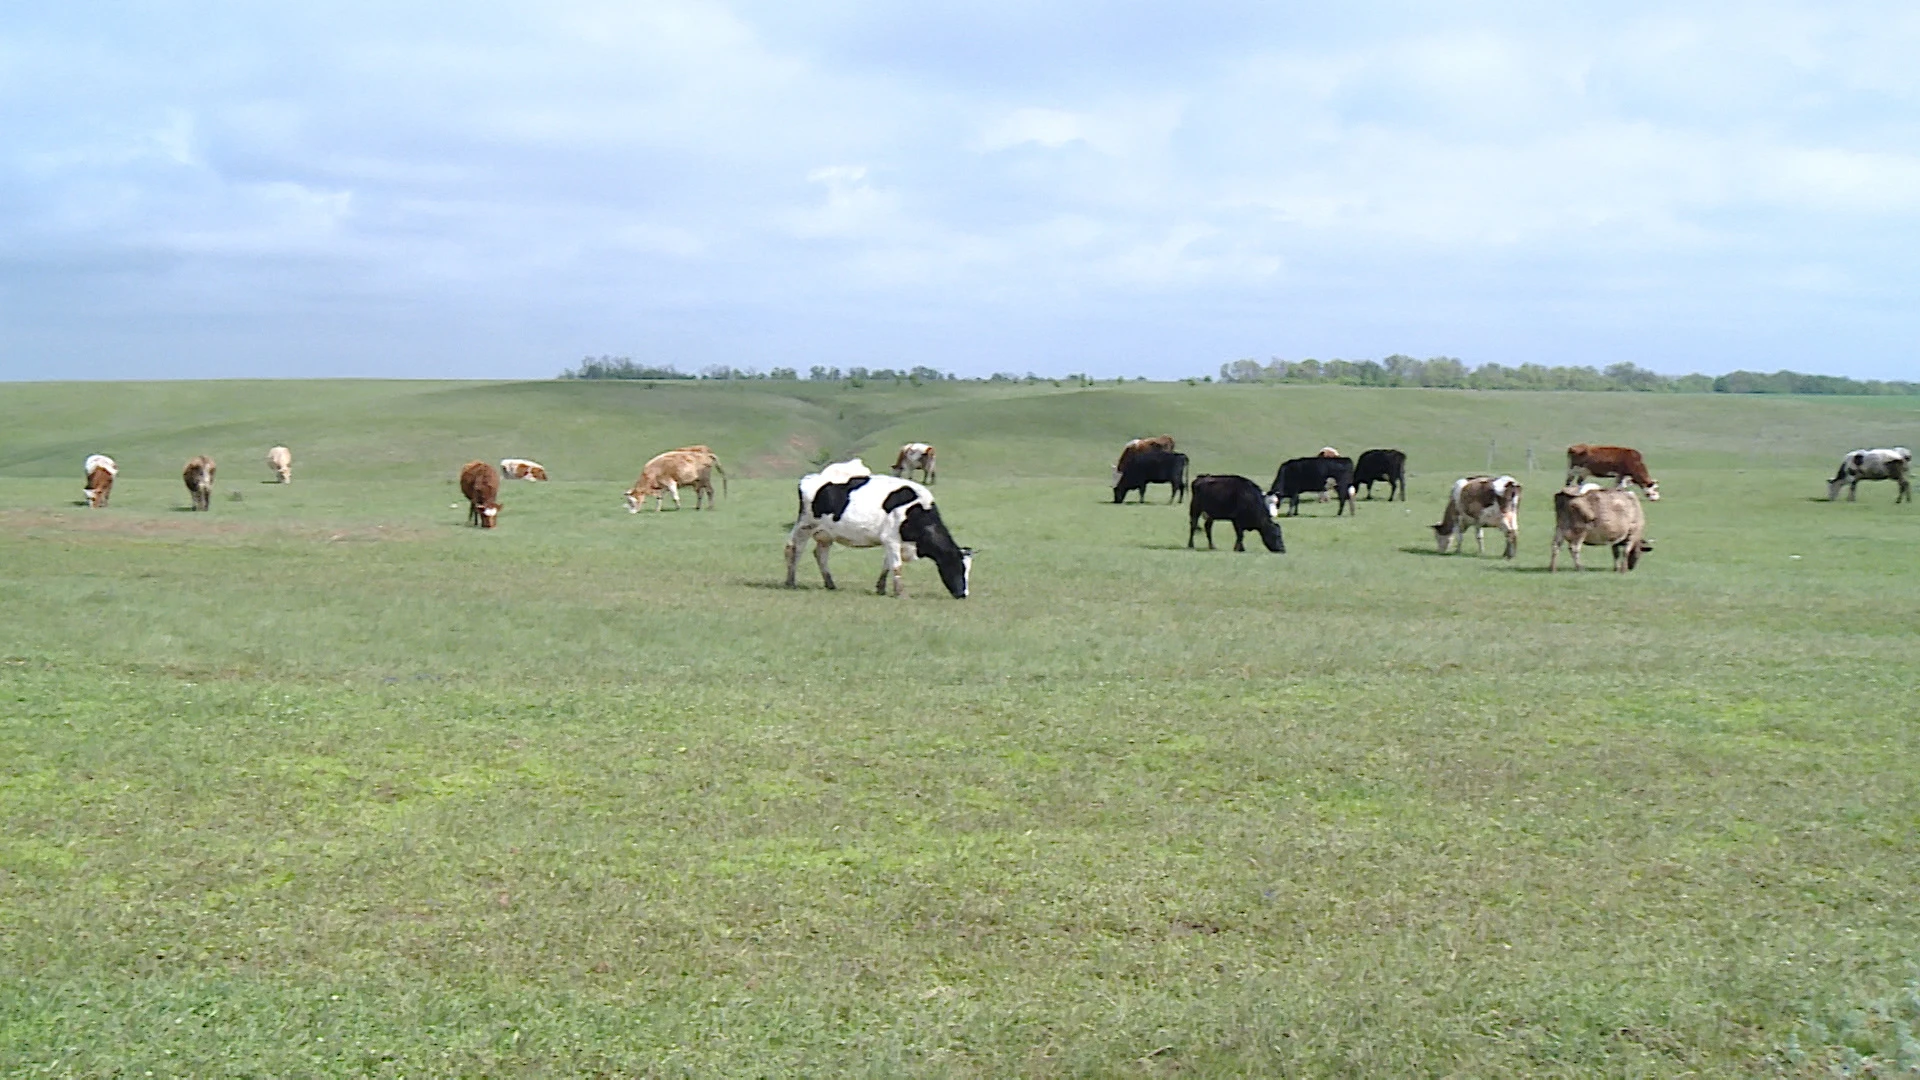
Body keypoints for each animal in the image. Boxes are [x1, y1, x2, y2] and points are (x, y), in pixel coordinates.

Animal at [783, 457, 975, 595]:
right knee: (794, 549)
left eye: (968, 571)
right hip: (805, 525)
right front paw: (900, 593)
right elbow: (896, 565)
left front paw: (881, 588)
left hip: (826, 533)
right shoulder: (891, 539)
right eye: (958, 567)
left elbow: (887, 565)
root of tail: (811, 477)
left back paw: (830, 584)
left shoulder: (893, 542)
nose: (963, 594)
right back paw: (790, 582)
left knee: (820, 554)